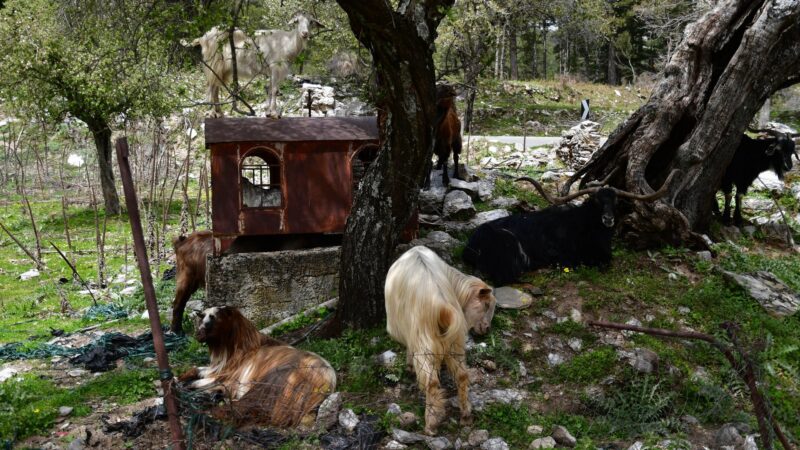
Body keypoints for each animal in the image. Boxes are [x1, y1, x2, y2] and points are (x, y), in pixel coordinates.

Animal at [178, 308, 334, 428]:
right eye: (202, 317)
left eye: (214, 318)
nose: (198, 334)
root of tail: (328, 380)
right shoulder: (218, 371)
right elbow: (195, 369)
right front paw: (178, 378)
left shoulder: (228, 379)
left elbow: (196, 383)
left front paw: (183, 385)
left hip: (270, 384)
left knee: (248, 407)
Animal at [183, 11, 324, 118]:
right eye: (297, 21)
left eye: (311, 22)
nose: (305, 33)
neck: (287, 42)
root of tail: (203, 37)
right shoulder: (275, 67)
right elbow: (274, 90)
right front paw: (273, 113)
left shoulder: (275, 71)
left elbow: (270, 89)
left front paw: (268, 111)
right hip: (214, 63)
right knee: (211, 87)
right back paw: (213, 113)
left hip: (222, 69)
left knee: (215, 87)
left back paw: (219, 112)